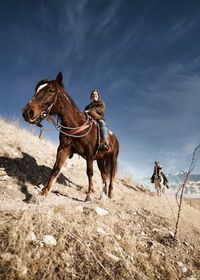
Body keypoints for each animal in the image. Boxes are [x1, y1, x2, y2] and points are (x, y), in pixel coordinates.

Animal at [22, 71, 119, 200]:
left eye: (51, 90)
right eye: (36, 89)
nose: (27, 112)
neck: (77, 124)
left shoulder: (89, 153)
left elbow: (89, 172)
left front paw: (89, 194)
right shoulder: (63, 149)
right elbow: (56, 168)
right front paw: (44, 191)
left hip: (113, 159)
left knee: (111, 176)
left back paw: (110, 194)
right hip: (100, 160)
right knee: (104, 176)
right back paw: (102, 195)